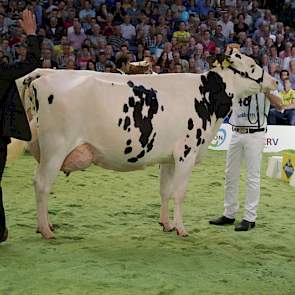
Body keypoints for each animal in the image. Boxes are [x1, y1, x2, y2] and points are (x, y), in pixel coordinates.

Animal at [15, 48, 278, 238]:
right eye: (252, 66)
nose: (275, 81)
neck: (206, 96)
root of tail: (45, 73)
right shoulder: (187, 153)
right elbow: (180, 193)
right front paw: (181, 229)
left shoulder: (169, 158)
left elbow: (165, 191)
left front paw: (166, 224)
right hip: (55, 148)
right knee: (41, 184)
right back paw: (45, 230)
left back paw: (47, 225)